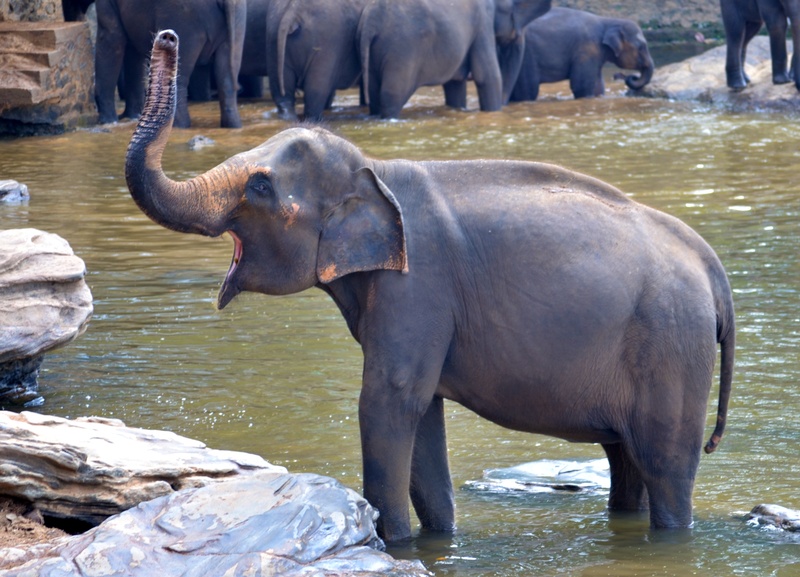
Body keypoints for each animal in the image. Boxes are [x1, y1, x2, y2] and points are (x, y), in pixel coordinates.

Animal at [95, 0, 246, 128]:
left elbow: (111, 39)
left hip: (184, 18)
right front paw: (132, 116)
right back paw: (233, 126)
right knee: (226, 75)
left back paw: (177, 126)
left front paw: (108, 121)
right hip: (237, 21)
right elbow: (133, 52)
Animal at [127, 30, 735, 542]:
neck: (375, 169)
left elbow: (389, 400)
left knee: (665, 468)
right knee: (625, 461)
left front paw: (392, 542)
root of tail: (711, 266)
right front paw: (437, 538)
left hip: (672, 349)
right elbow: (424, 416)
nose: (167, 37)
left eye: (259, 187)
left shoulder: (417, 287)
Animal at [358, 0, 551, 118]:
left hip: (375, 51)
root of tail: (371, 19)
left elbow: (455, 83)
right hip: (401, 50)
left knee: (374, 94)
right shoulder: (483, 22)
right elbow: (488, 76)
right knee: (392, 94)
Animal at [510, 8, 654, 102]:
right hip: (525, 56)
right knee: (528, 90)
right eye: (641, 47)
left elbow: (598, 85)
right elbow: (581, 85)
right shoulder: (587, 50)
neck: (608, 21)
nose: (630, 76)